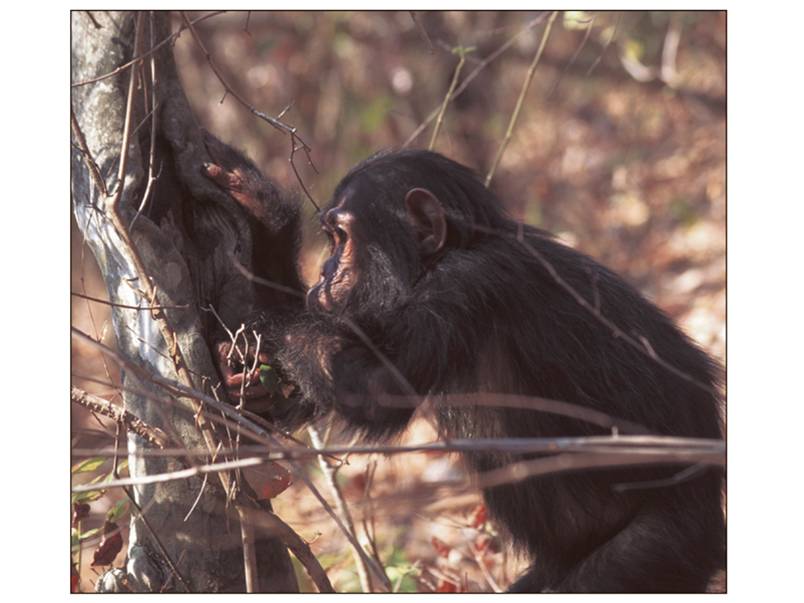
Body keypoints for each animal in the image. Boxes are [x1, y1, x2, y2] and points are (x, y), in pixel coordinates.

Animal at [201, 147, 724, 596]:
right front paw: (263, 212)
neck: (446, 254)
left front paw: (264, 326)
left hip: (661, 546)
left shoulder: (468, 285)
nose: (326, 271)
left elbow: (374, 387)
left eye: (341, 238)